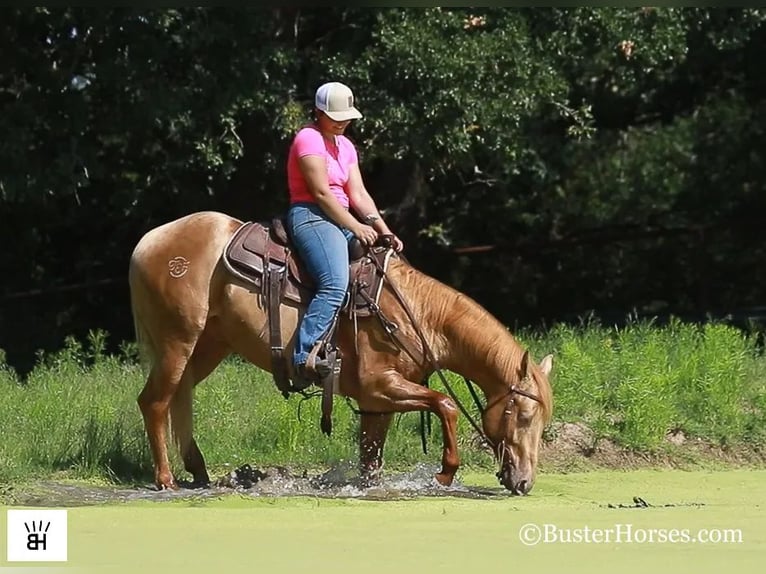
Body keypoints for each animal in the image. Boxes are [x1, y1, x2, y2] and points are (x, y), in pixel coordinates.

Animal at [129, 212, 556, 496]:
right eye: (524, 415)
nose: (524, 483)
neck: (418, 313)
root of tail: (148, 240)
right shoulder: (380, 385)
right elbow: (445, 404)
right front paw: (445, 473)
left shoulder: (377, 401)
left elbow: (371, 457)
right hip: (177, 342)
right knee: (155, 402)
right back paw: (165, 479)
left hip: (208, 346)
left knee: (180, 397)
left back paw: (198, 472)